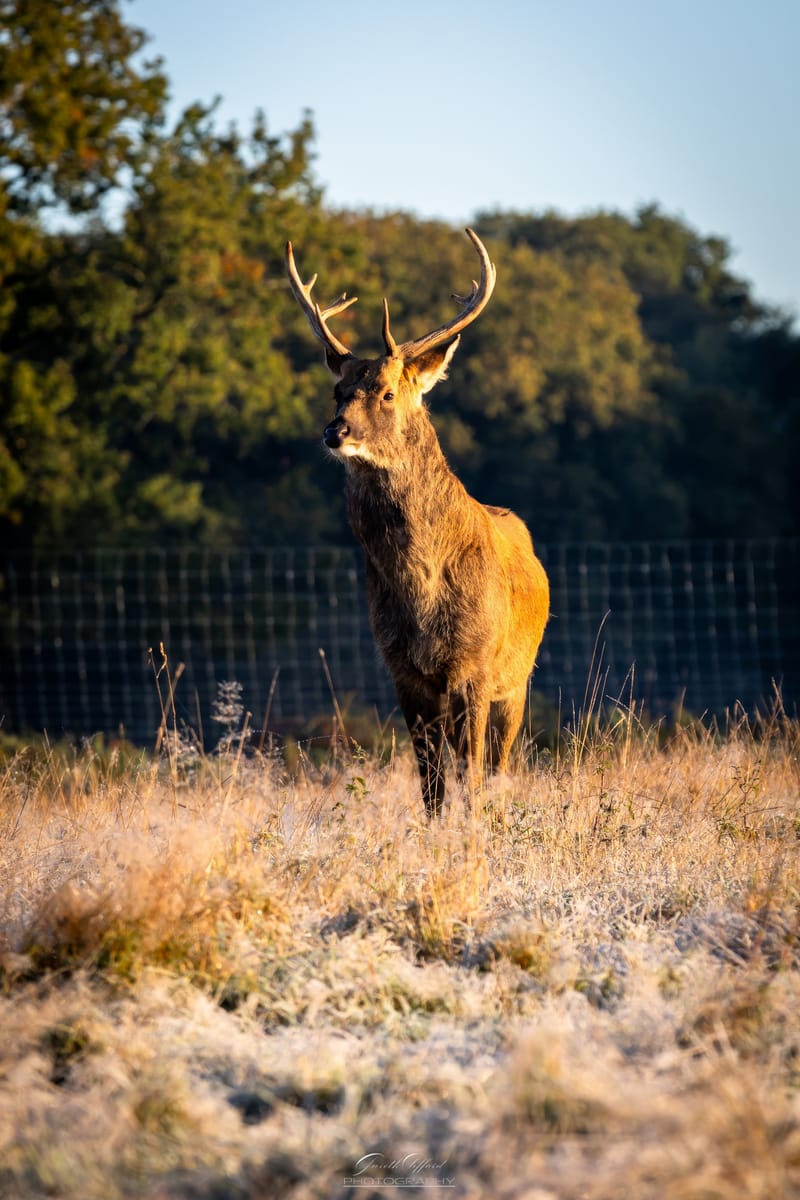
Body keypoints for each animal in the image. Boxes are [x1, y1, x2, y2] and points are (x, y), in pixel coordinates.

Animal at [285, 228, 549, 818]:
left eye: (387, 392)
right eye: (338, 391)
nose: (334, 432)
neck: (423, 590)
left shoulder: (476, 664)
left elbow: (471, 778)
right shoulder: (402, 668)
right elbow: (431, 785)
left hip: (518, 678)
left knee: (499, 766)